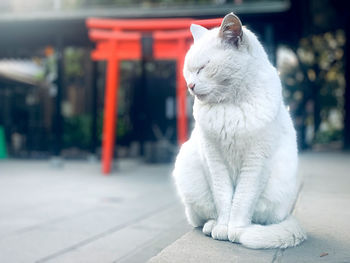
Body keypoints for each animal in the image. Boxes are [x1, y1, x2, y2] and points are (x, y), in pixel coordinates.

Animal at [172, 13, 306, 251]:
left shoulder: (256, 162)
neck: (230, 105)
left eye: (203, 67)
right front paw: (223, 227)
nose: (190, 85)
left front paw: (237, 230)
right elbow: (224, 198)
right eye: (188, 70)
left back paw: (248, 229)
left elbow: (242, 199)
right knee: (203, 218)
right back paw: (212, 226)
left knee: (259, 219)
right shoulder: (214, 160)